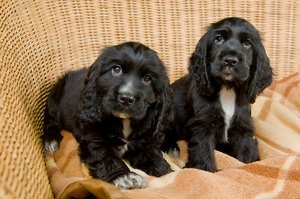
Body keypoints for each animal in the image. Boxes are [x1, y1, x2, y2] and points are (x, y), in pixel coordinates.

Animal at [42, 41, 173, 188]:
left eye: (147, 79)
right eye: (116, 69)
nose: (126, 98)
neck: (124, 121)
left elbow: (152, 154)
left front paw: (164, 168)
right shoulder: (94, 140)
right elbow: (106, 157)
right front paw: (124, 177)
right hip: (55, 96)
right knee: (50, 120)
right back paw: (51, 139)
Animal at [163, 17, 274, 173]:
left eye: (247, 43)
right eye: (219, 39)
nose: (230, 60)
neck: (227, 89)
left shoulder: (243, 125)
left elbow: (246, 149)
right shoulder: (202, 125)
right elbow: (203, 152)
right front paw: (205, 170)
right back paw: (171, 148)